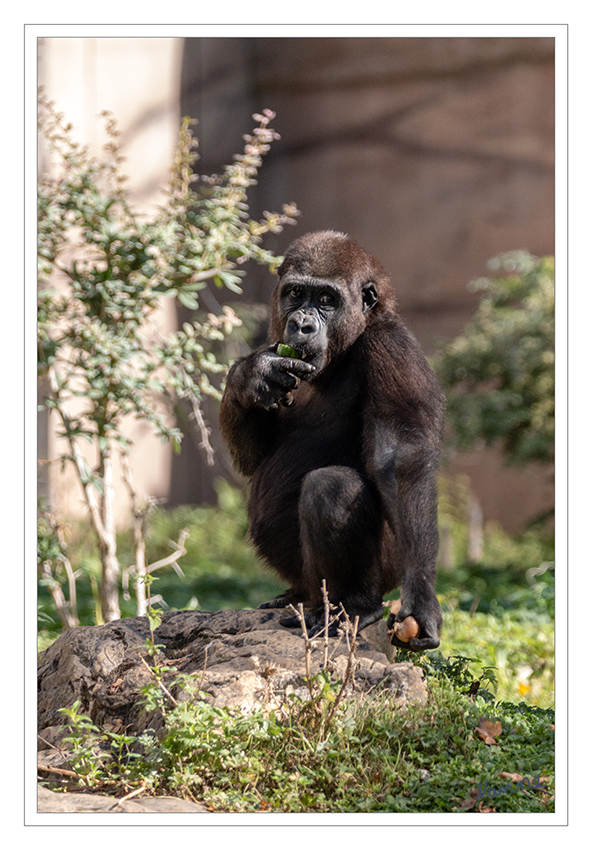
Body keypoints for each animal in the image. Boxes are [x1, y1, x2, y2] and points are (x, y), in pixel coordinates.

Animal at [220, 229, 446, 644]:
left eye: (327, 300)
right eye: (296, 294)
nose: (302, 324)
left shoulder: (391, 348)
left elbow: (398, 460)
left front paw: (422, 597)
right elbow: (251, 459)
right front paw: (248, 374)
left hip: (385, 575)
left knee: (332, 487)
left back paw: (352, 604)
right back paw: (295, 596)